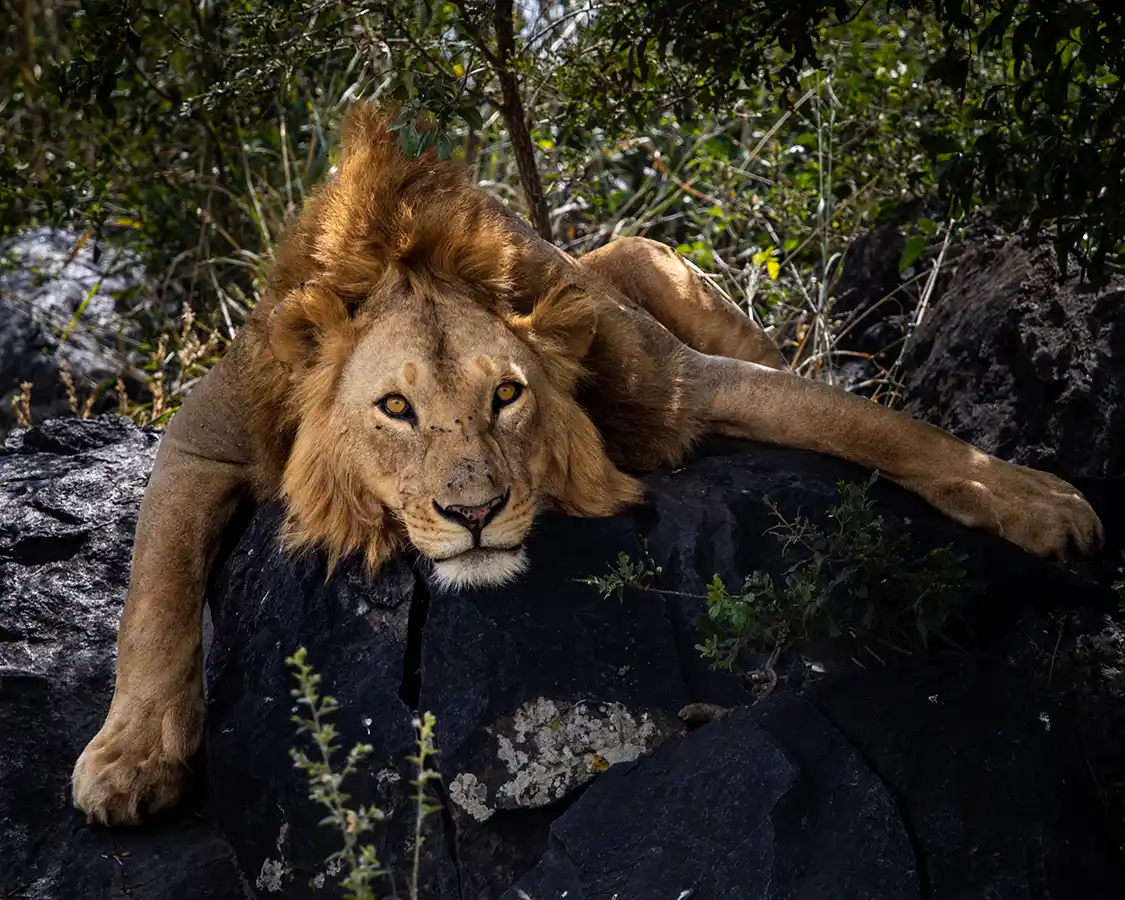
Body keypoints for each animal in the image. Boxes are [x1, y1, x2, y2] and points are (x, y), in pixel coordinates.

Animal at [71, 102, 1104, 826]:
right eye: (395, 409)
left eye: (508, 394)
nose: (475, 513)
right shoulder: (204, 432)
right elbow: (153, 594)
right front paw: (129, 762)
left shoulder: (682, 378)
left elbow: (875, 425)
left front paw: (1032, 497)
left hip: (648, 255)